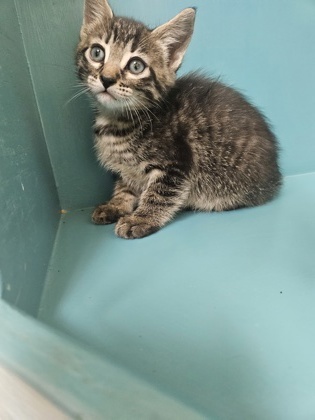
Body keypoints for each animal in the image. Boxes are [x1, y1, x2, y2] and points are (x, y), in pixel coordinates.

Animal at [76, 0, 282, 238]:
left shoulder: (176, 163)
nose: (107, 79)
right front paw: (116, 204)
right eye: (97, 53)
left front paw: (141, 218)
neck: (118, 121)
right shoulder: (126, 169)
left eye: (136, 66)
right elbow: (125, 186)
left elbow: (160, 193)